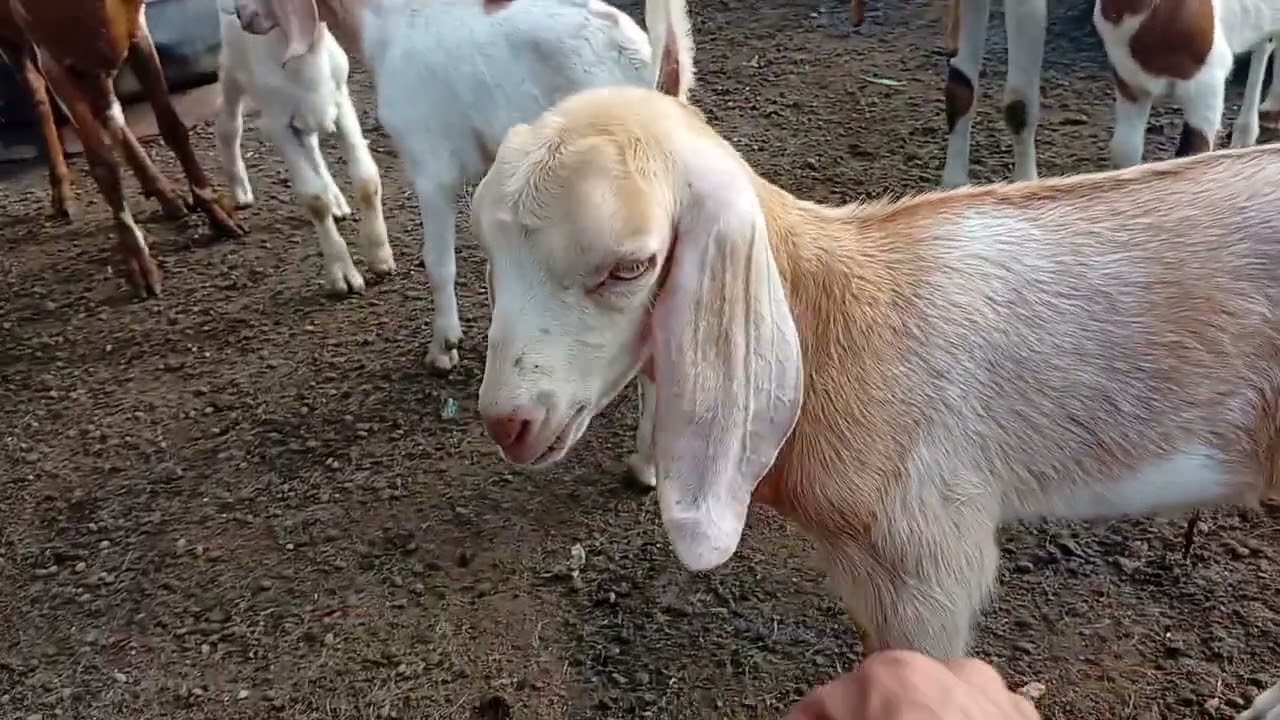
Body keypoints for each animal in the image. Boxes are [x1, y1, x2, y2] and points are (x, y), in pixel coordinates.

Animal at [7, 0, 247, 296]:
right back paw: (63, 195)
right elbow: (102, 163)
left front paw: (218, 213)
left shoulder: (134, 30)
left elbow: (172, 127)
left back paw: (167, 195)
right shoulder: (53, 57)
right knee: (40, 97)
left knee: (111, 116)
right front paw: (140, 265)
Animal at [217, 0, 394, 296]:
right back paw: (241, 191)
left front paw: (381, 257)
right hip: (231, 70)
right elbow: (314, 198)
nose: (242, 14)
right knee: (229, 125)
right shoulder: (278, 124)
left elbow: (366, 180)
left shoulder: (341, 100)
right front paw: (343, 275)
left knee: (312, 146)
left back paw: (337, 202)